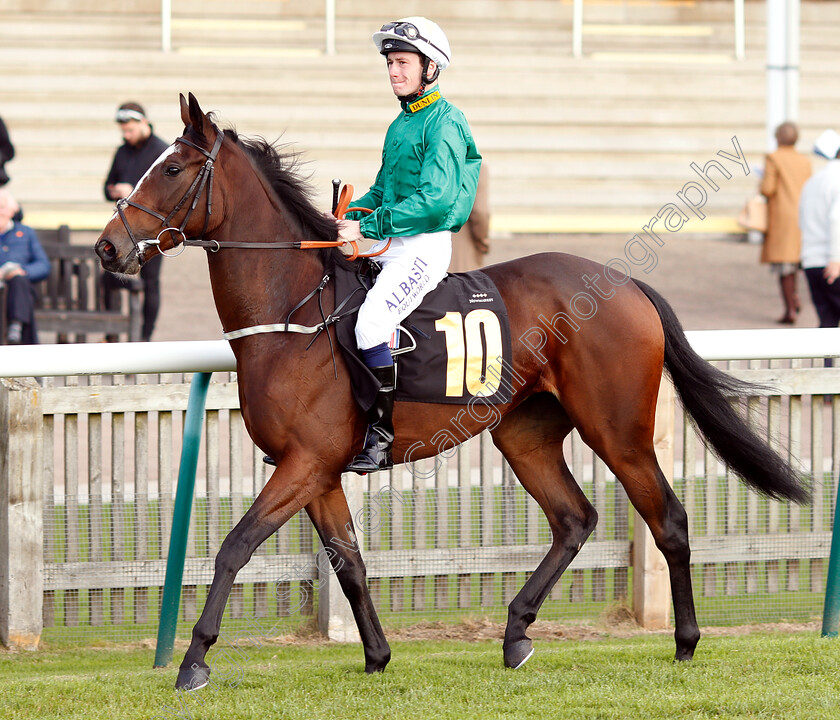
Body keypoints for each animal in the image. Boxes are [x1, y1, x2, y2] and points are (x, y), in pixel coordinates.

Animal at [95, 93, 812, 688]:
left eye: (172, 168)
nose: (106, 249)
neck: (293, 314)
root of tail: (625, 283)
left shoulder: (304, 464)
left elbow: (234, 547)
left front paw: (194, 660)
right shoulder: (318, 472)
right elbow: (349, 564)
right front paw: (377, 655)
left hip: (619, 430)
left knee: (668, 519)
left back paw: (686, 641)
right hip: (524, 434)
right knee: (574, 519)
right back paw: (516, 633)